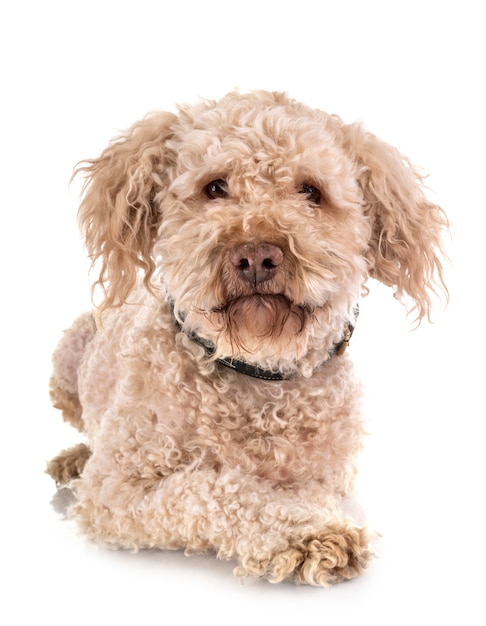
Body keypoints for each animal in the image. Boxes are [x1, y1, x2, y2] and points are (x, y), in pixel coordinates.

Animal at [46, 90, 448, 584]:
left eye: (310, 192)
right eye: (215, 187)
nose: (256, 254)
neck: (256, 368)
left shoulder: (324, 476)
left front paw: (308, 520)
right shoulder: (115, 491)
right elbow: (211, 489)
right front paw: (307, 534)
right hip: (67, 356)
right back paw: (74, 459)